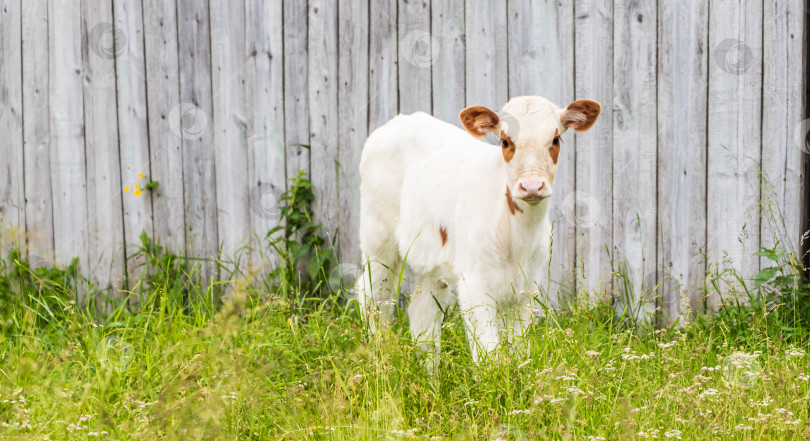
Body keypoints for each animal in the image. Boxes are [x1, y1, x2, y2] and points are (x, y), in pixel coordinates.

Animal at [356, 94, 600, 362]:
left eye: (555, 139)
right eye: (505, 141)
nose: (532, 186)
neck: (517, 238)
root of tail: (401, 120)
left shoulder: (528, 287)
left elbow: (520, 349)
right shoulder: (474, 282)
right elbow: (488, 350)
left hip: (430, 261)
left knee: (422, 315)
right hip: (378, 240)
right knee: (374, 297)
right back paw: (378, 353)